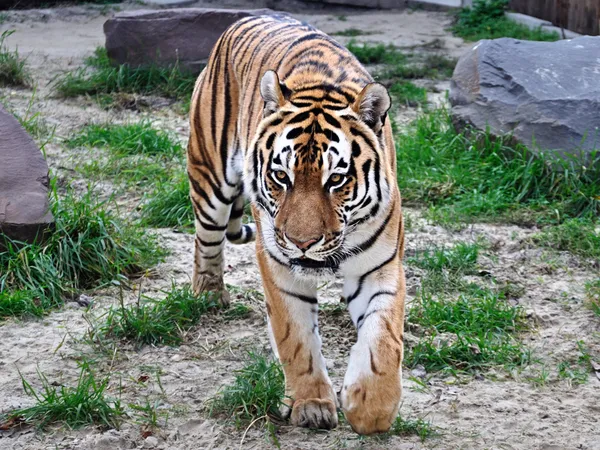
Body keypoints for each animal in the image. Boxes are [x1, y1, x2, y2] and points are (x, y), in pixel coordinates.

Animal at [185, 13, 406, 436]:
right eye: (281, 176)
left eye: (336, 179)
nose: (302, 242)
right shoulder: (279, 267)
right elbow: (296, 338)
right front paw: (312, 406)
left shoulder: (381, 267)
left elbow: (384, 337)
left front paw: (370, 407)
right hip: (209, 176)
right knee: (206, 241)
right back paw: (208, 295)